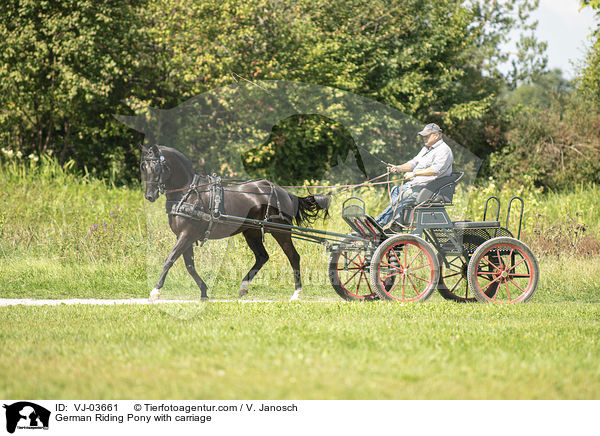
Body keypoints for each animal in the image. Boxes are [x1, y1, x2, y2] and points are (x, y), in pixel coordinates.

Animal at [140, 145, 330, 302]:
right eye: (143, 168)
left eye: (156, 167)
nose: (149, 196)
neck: (189, 193)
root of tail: (284, 192)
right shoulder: (185, 236)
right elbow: (189, 266)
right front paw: (204, 292)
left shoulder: (187, 234)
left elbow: (170, 260)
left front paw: (155, 291)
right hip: (252, 232)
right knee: (262, 257)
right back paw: (243, 287)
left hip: (280, 231)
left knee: (293, 257)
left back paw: (297, 293)